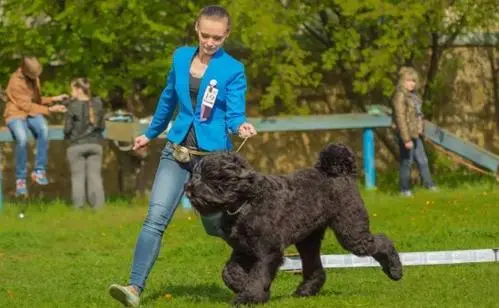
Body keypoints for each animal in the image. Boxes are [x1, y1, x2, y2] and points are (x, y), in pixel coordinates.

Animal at [186, 144, 404, 306]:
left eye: (212, 176)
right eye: (195, 174)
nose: (189, 189)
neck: (245, 203)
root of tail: (342, 173)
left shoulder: (268, 251)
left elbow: (258, 275)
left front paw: (249, 297)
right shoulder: (243, 250)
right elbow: (229, 272)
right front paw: (250, 290)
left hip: (351, 232)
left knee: (383, 241)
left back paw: (395, 270)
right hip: (308, 240)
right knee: (315, 268)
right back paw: (305, 290)